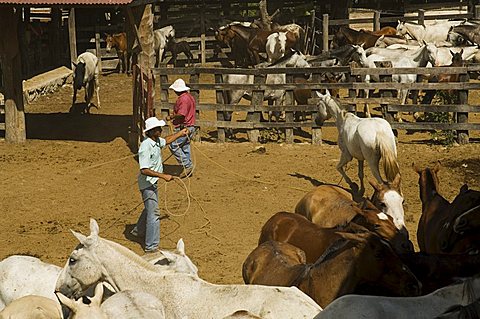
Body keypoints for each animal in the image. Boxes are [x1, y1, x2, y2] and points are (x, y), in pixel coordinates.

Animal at [316, 90, 404, 230]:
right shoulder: (360, 158)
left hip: (373, 162)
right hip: (392, 157)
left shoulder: (347, 155)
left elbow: (339, 167)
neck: (343, 121)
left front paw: (352, 185)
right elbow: (360, 174)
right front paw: (360, 190)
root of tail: (379, 130)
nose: (317, 121)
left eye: (318, 105)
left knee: (381, 182)